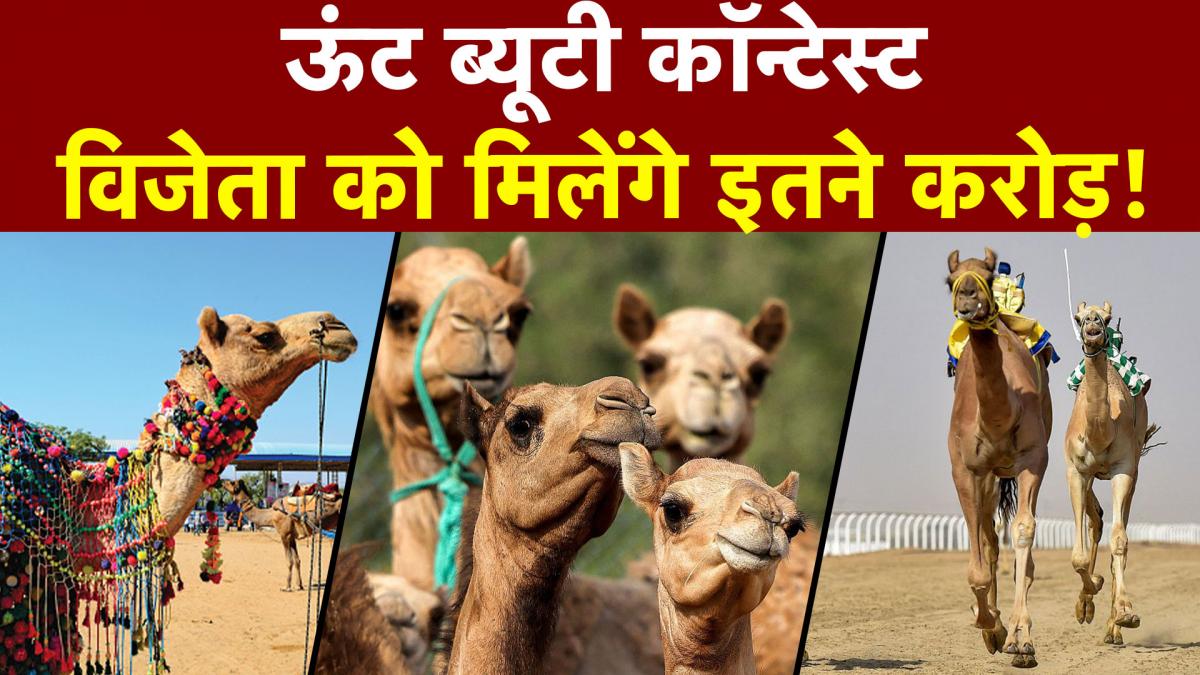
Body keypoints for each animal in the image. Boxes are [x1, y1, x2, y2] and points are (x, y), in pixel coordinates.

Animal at [946, 248, 1051, 668]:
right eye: (950, 278)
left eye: (990, 277)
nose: (968, 298)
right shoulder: (966, 468)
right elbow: (979, 548)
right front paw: (991, 626)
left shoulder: (1033, 459)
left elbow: (1023, 531)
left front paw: (1021, 641)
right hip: (989, 477)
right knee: (989, 537)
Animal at [1065, 301, 1155, 645]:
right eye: (1079, 318)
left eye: (1106, 317)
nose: (1093, 323)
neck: (1102, 431)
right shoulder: (1076, 470)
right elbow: (1078, 555)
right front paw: (1086, 599)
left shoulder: (1124, 470)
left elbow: (1120, 541)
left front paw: (1126, 613)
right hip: (1091, 476)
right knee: (1097, 518)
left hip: (1133, 472)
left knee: (1116, 528)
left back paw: (1113, 627)